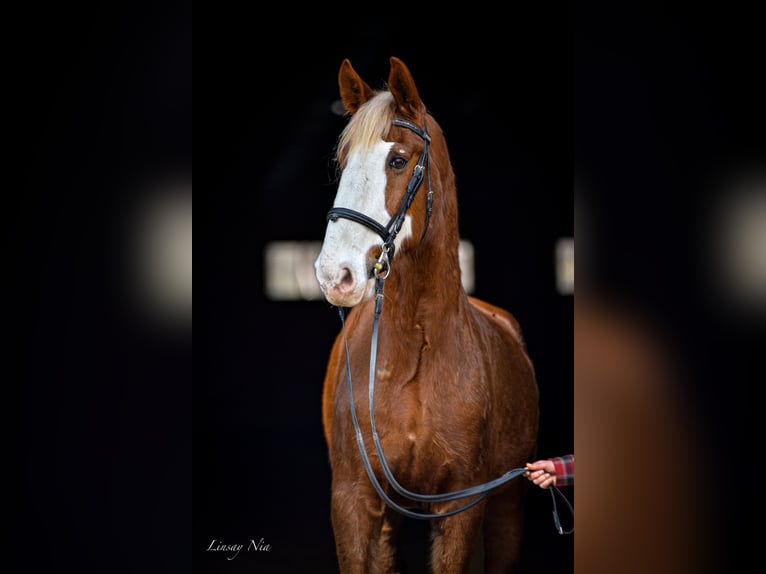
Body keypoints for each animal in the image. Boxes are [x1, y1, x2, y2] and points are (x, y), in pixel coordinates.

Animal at [312, 55, 540, 574]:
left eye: (397, 160)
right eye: (343, 162)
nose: (335, 274)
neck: (412, 354)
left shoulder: (461, 505)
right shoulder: (352, 500)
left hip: (508, 508)